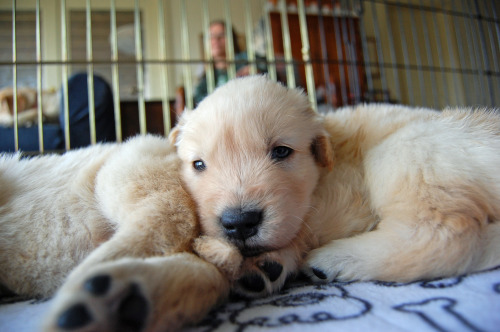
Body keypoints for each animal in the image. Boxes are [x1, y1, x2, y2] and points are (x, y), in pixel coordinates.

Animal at [171, 74, 500, 296]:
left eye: (281, 151)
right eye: (198, 164)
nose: (239, 222)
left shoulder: (347, 197)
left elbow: (305, 229)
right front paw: (264, 267)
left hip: (408, 152)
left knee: (445, 234)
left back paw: (334, 259)